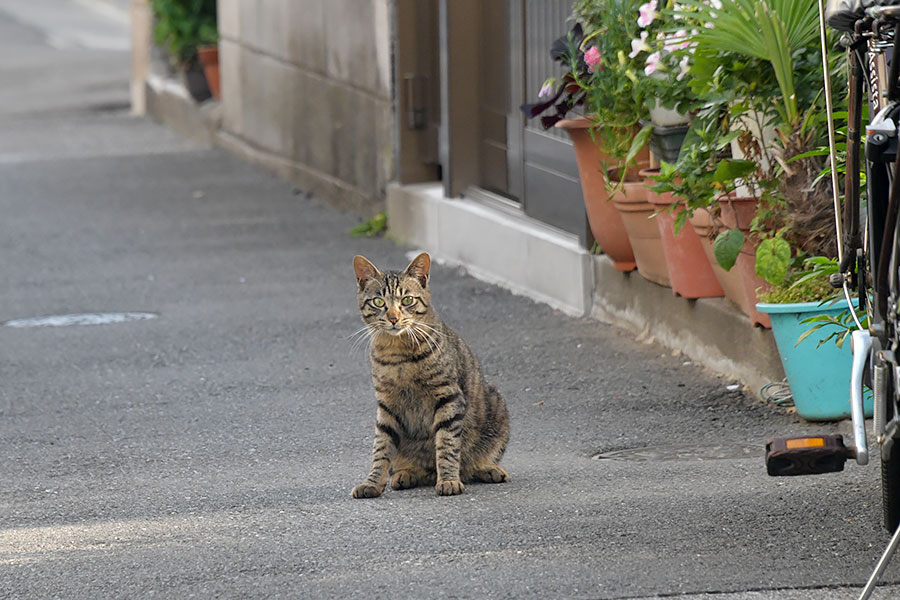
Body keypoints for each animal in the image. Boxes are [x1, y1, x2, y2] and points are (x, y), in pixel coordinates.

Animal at [350, 252, 506, 496]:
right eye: (379, 302)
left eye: (407, 300)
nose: (393, 318)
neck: (398, 353)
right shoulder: (386, 405)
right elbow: (381, 448)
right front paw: (372, 482)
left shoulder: (448, 397)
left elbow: (447, 444)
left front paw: (449, 480)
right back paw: (406, 474)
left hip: (498, 406)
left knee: (469, 465)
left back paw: (487, 469)